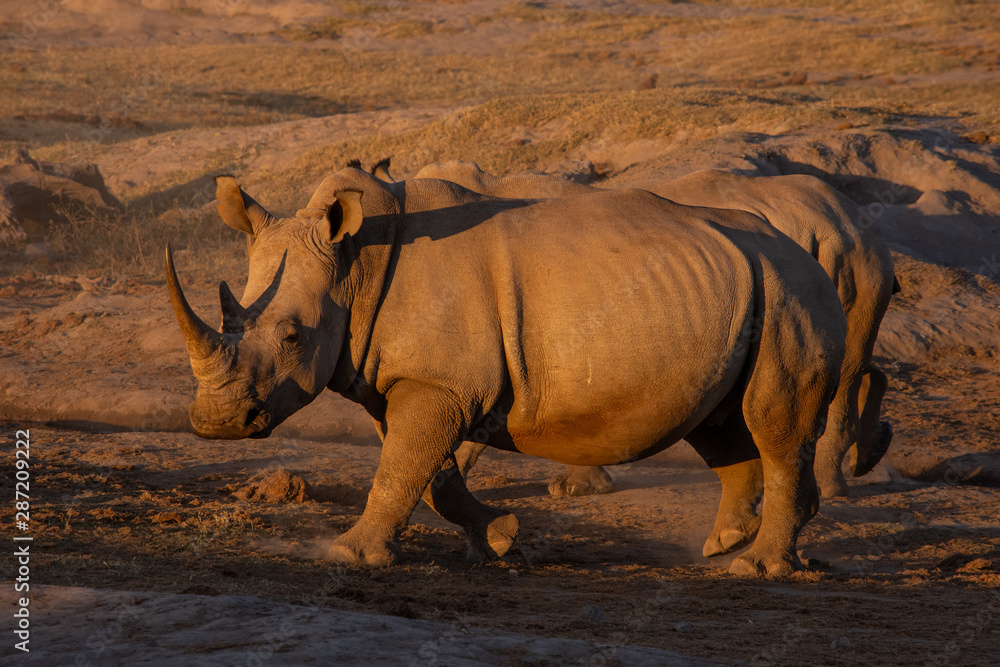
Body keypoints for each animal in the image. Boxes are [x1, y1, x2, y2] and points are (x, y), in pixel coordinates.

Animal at [167, 167, 846, 576]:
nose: (215, 422)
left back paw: (755, 566)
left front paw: (349, 555)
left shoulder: (439, 383)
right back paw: (727, 541)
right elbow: (427, 472)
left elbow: (402, 467)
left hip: (791, 290)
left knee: (771, 423)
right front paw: (499, 538)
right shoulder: (421, 382)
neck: (355, 264)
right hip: (739, 292)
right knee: (719, 421)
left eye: (291, 336)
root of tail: (808, 249)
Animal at [409, 160, 896, 504]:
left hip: (837, 261)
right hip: (859, 254)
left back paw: (834, 487)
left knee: (841, 367)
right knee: (851, 357)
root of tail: (834, 223)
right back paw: (862, 462)